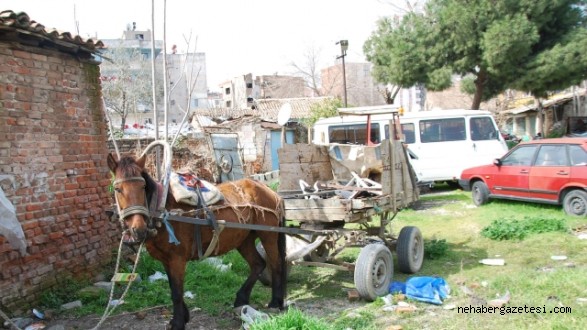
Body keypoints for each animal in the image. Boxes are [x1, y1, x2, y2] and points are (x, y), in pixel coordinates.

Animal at [107, 153, 290, 328]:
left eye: (143, 186)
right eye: (117, 189)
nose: (138, 229)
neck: (163, 211)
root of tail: (269, 191)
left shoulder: (177, 259)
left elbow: (176, 292)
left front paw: (178, 322)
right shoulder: (166, 260)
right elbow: (173, 287)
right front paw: (182, 317)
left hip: (268, 236)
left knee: (276, 264)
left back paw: (275, 302)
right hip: (244, 240)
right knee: (258, 264)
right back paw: (241, 300)